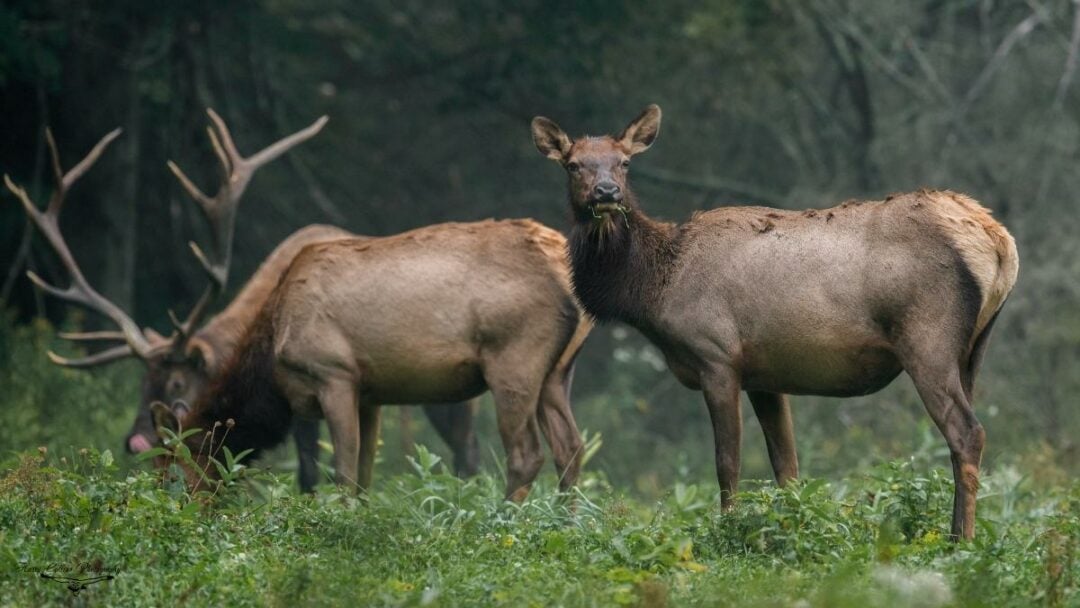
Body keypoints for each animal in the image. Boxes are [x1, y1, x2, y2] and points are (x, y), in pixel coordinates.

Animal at [148, 217, 592, 500]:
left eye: (170, 476)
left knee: (525, 454)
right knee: (570, 447)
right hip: (557, 373)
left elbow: (343, 473)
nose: (167, 516)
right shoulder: (370, 395)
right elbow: (364, 476)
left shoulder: (334, 374)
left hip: (513, 359)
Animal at [531, 105, 1019, 540]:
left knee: (967, 432)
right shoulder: (765, 375)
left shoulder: (716, 356)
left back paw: (961, 540)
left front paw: (729, 530)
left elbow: (727, 462)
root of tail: (999, 241)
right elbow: (787, 467)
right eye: (573, 165)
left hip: (926, 337)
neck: (654, 290)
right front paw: (795, 527)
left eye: (625, 162)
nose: (607, 193)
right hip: (973, 349)